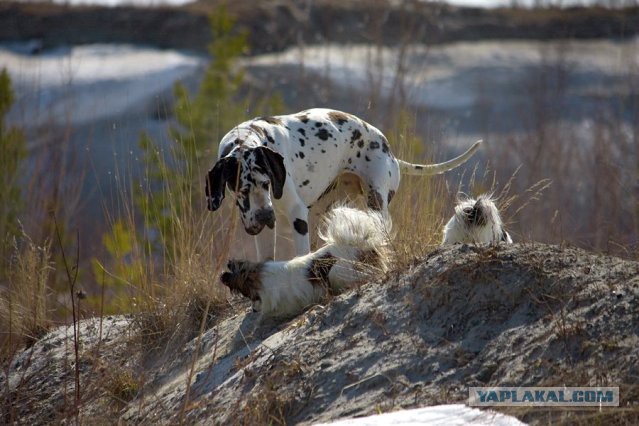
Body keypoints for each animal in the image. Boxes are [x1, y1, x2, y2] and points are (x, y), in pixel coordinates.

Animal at [208, 107, 482, 260]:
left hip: (374, 205)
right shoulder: (261, 224)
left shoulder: (296, 213)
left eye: (266, 184)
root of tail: (390, 151)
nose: (265, 215)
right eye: (243, 189)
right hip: (321, 211)